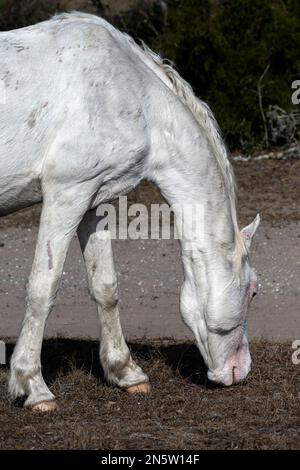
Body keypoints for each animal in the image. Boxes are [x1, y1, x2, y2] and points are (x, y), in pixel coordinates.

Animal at [0, 12, 258, 412]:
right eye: (254, 291)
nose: (239, 369)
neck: (131, 93)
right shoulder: (66, 193)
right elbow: (43, 287)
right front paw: (33, 387)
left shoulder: (93, 200)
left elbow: (105, 286)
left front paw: (125, 373)